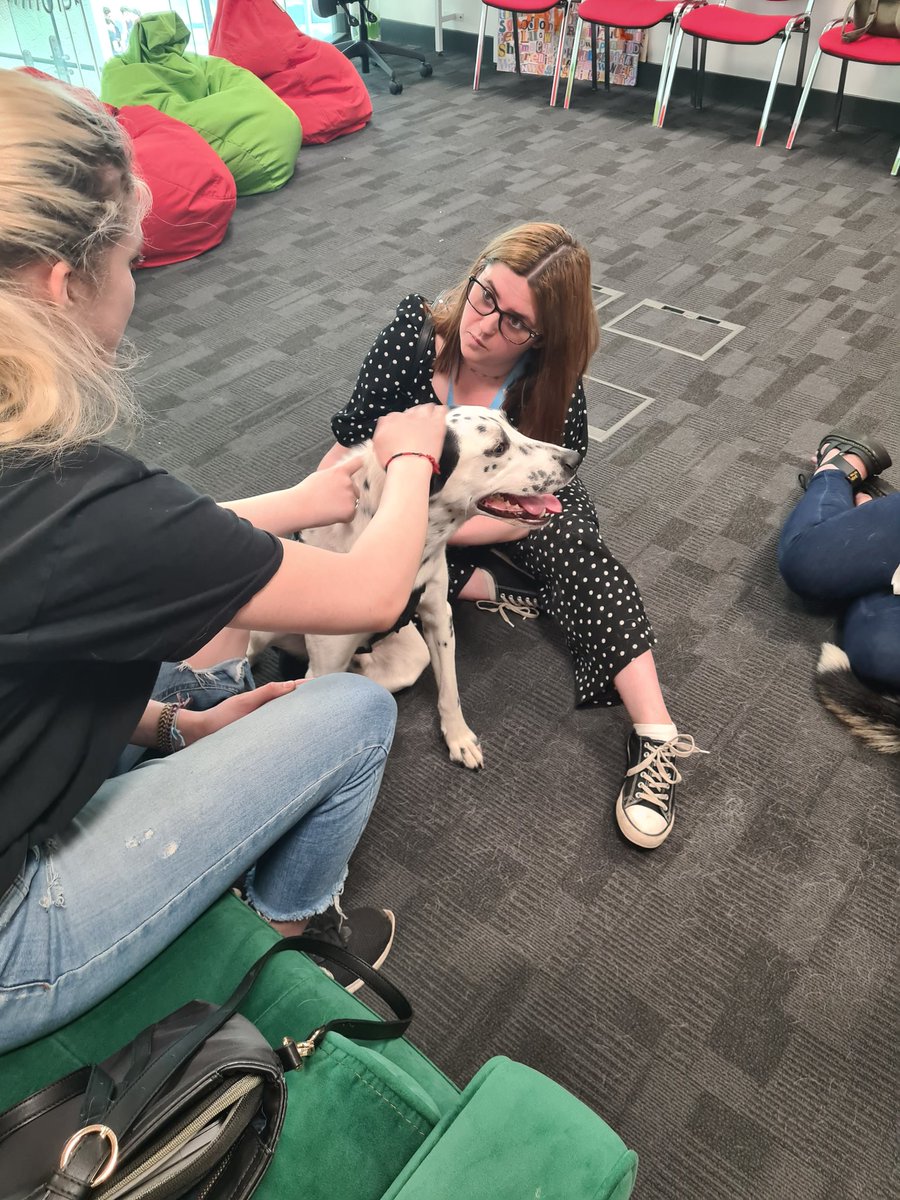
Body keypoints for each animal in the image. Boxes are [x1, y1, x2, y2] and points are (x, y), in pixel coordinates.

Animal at [252, 408, 578, 768]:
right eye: (497, 448)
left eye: (512, 424)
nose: (575, 458)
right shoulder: (326, 664)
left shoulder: (439, 615)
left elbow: (450, 690)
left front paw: (458, 738)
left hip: (411, 654)